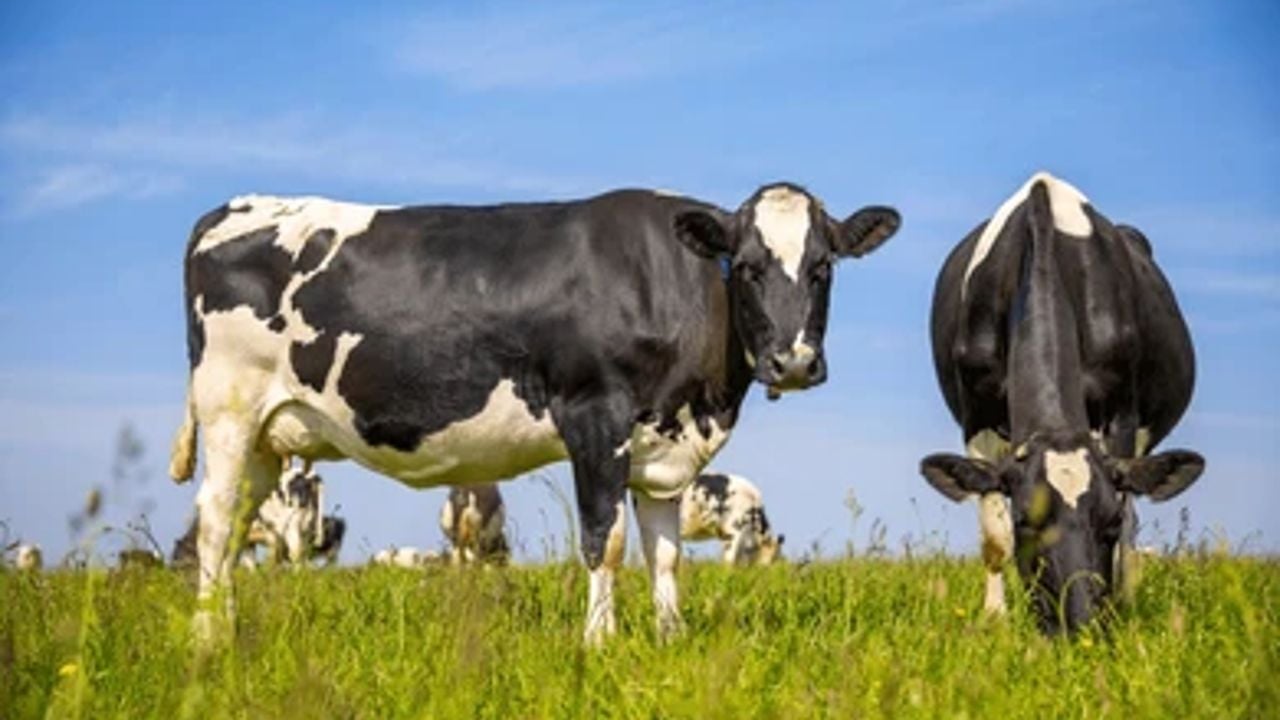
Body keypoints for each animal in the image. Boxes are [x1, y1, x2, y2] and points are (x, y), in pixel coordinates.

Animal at [168, 184, 900, 644]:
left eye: (823, 267)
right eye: (745, 267)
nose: (793, 363)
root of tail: (235, 207)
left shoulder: (663, 444)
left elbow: (664, 553)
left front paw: (671, 638)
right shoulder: (596, 418)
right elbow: (604, 539)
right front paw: (600, 642)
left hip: (268, 439)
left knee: (235, 530)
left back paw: (225, 627)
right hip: (230, 410)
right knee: (214, 523)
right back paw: (205, 639)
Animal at [919, 171, 1203, 634]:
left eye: (1107, 520)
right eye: (1025, 521)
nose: (1081, 624)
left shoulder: (1120, 413)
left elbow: (1125, 524)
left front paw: (1117, 611)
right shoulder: (977, 416)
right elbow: (993, 534)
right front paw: (994, 620)